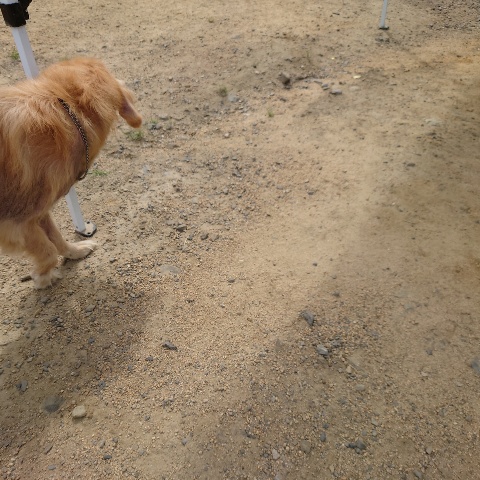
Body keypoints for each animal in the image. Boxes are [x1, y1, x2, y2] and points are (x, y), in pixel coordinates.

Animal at [0, 57, 142, 288]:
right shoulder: (14, 223)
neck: (69, 113)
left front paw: (75, 251)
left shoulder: (38, 210)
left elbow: (56, 239)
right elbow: (47, 250)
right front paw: (42, 277)